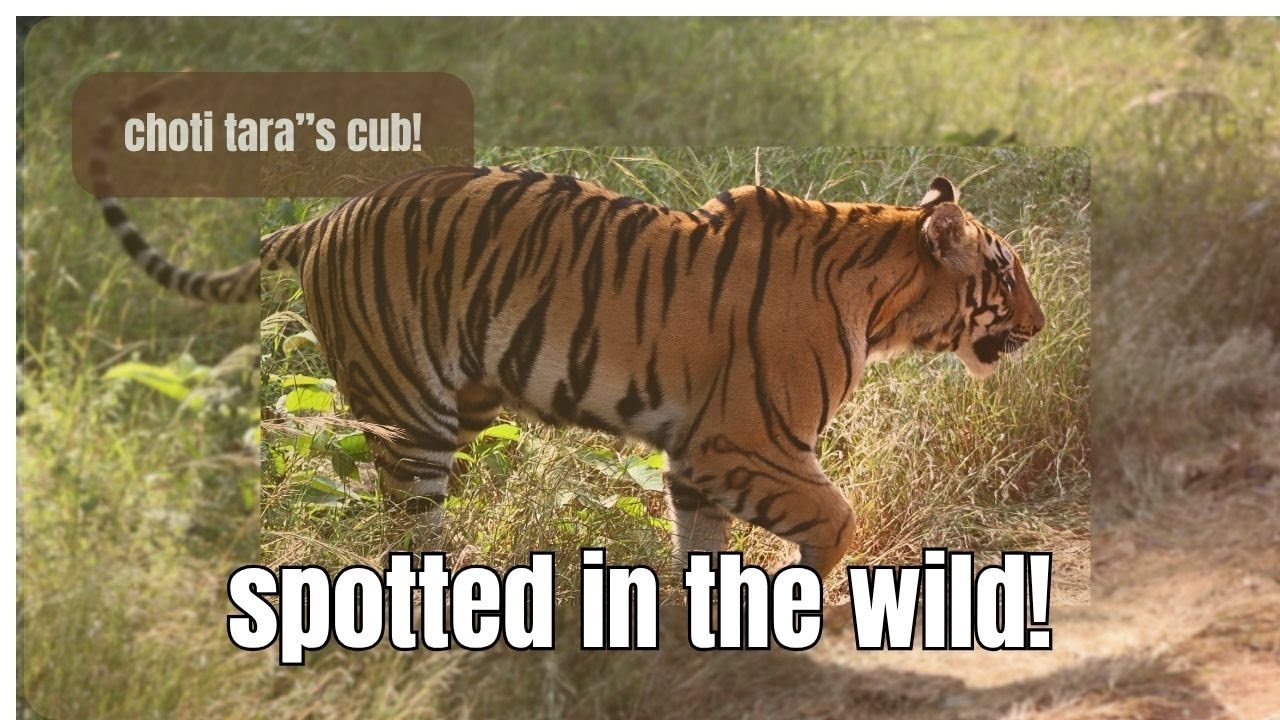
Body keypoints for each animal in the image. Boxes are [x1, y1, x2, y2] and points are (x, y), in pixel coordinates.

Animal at [95, 161, 1044, 580]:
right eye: (1006, 273)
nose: (1040, 326)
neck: (883, 303)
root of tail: (324, 218)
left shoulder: (696, 460)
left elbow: (702, 546)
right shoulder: (747, 443)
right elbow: (837, 518)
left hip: (461, 401)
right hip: (410, 412)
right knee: (403, 524)